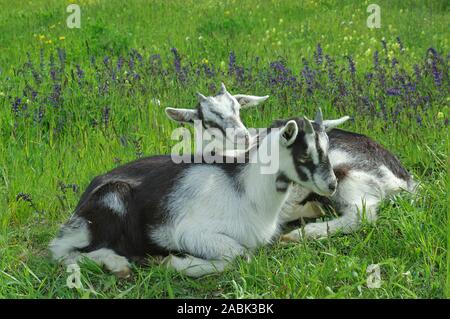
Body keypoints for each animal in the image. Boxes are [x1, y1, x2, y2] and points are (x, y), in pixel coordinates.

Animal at [50, 115, 338, 278]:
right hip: (109, 203)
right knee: (61, 250)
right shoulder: (191, 233)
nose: (332, 184)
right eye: (304, 154)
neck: (246, 191)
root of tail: (84, 198)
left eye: (327, 148)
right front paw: (173, 263)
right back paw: (118, 264)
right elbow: (239, 257)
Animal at [167, 84, 416, 240]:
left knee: (362, 215)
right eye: (205, 120)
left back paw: (301, 233)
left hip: (345, 177)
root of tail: (403, 179)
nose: (243, 136)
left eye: (237, 108)